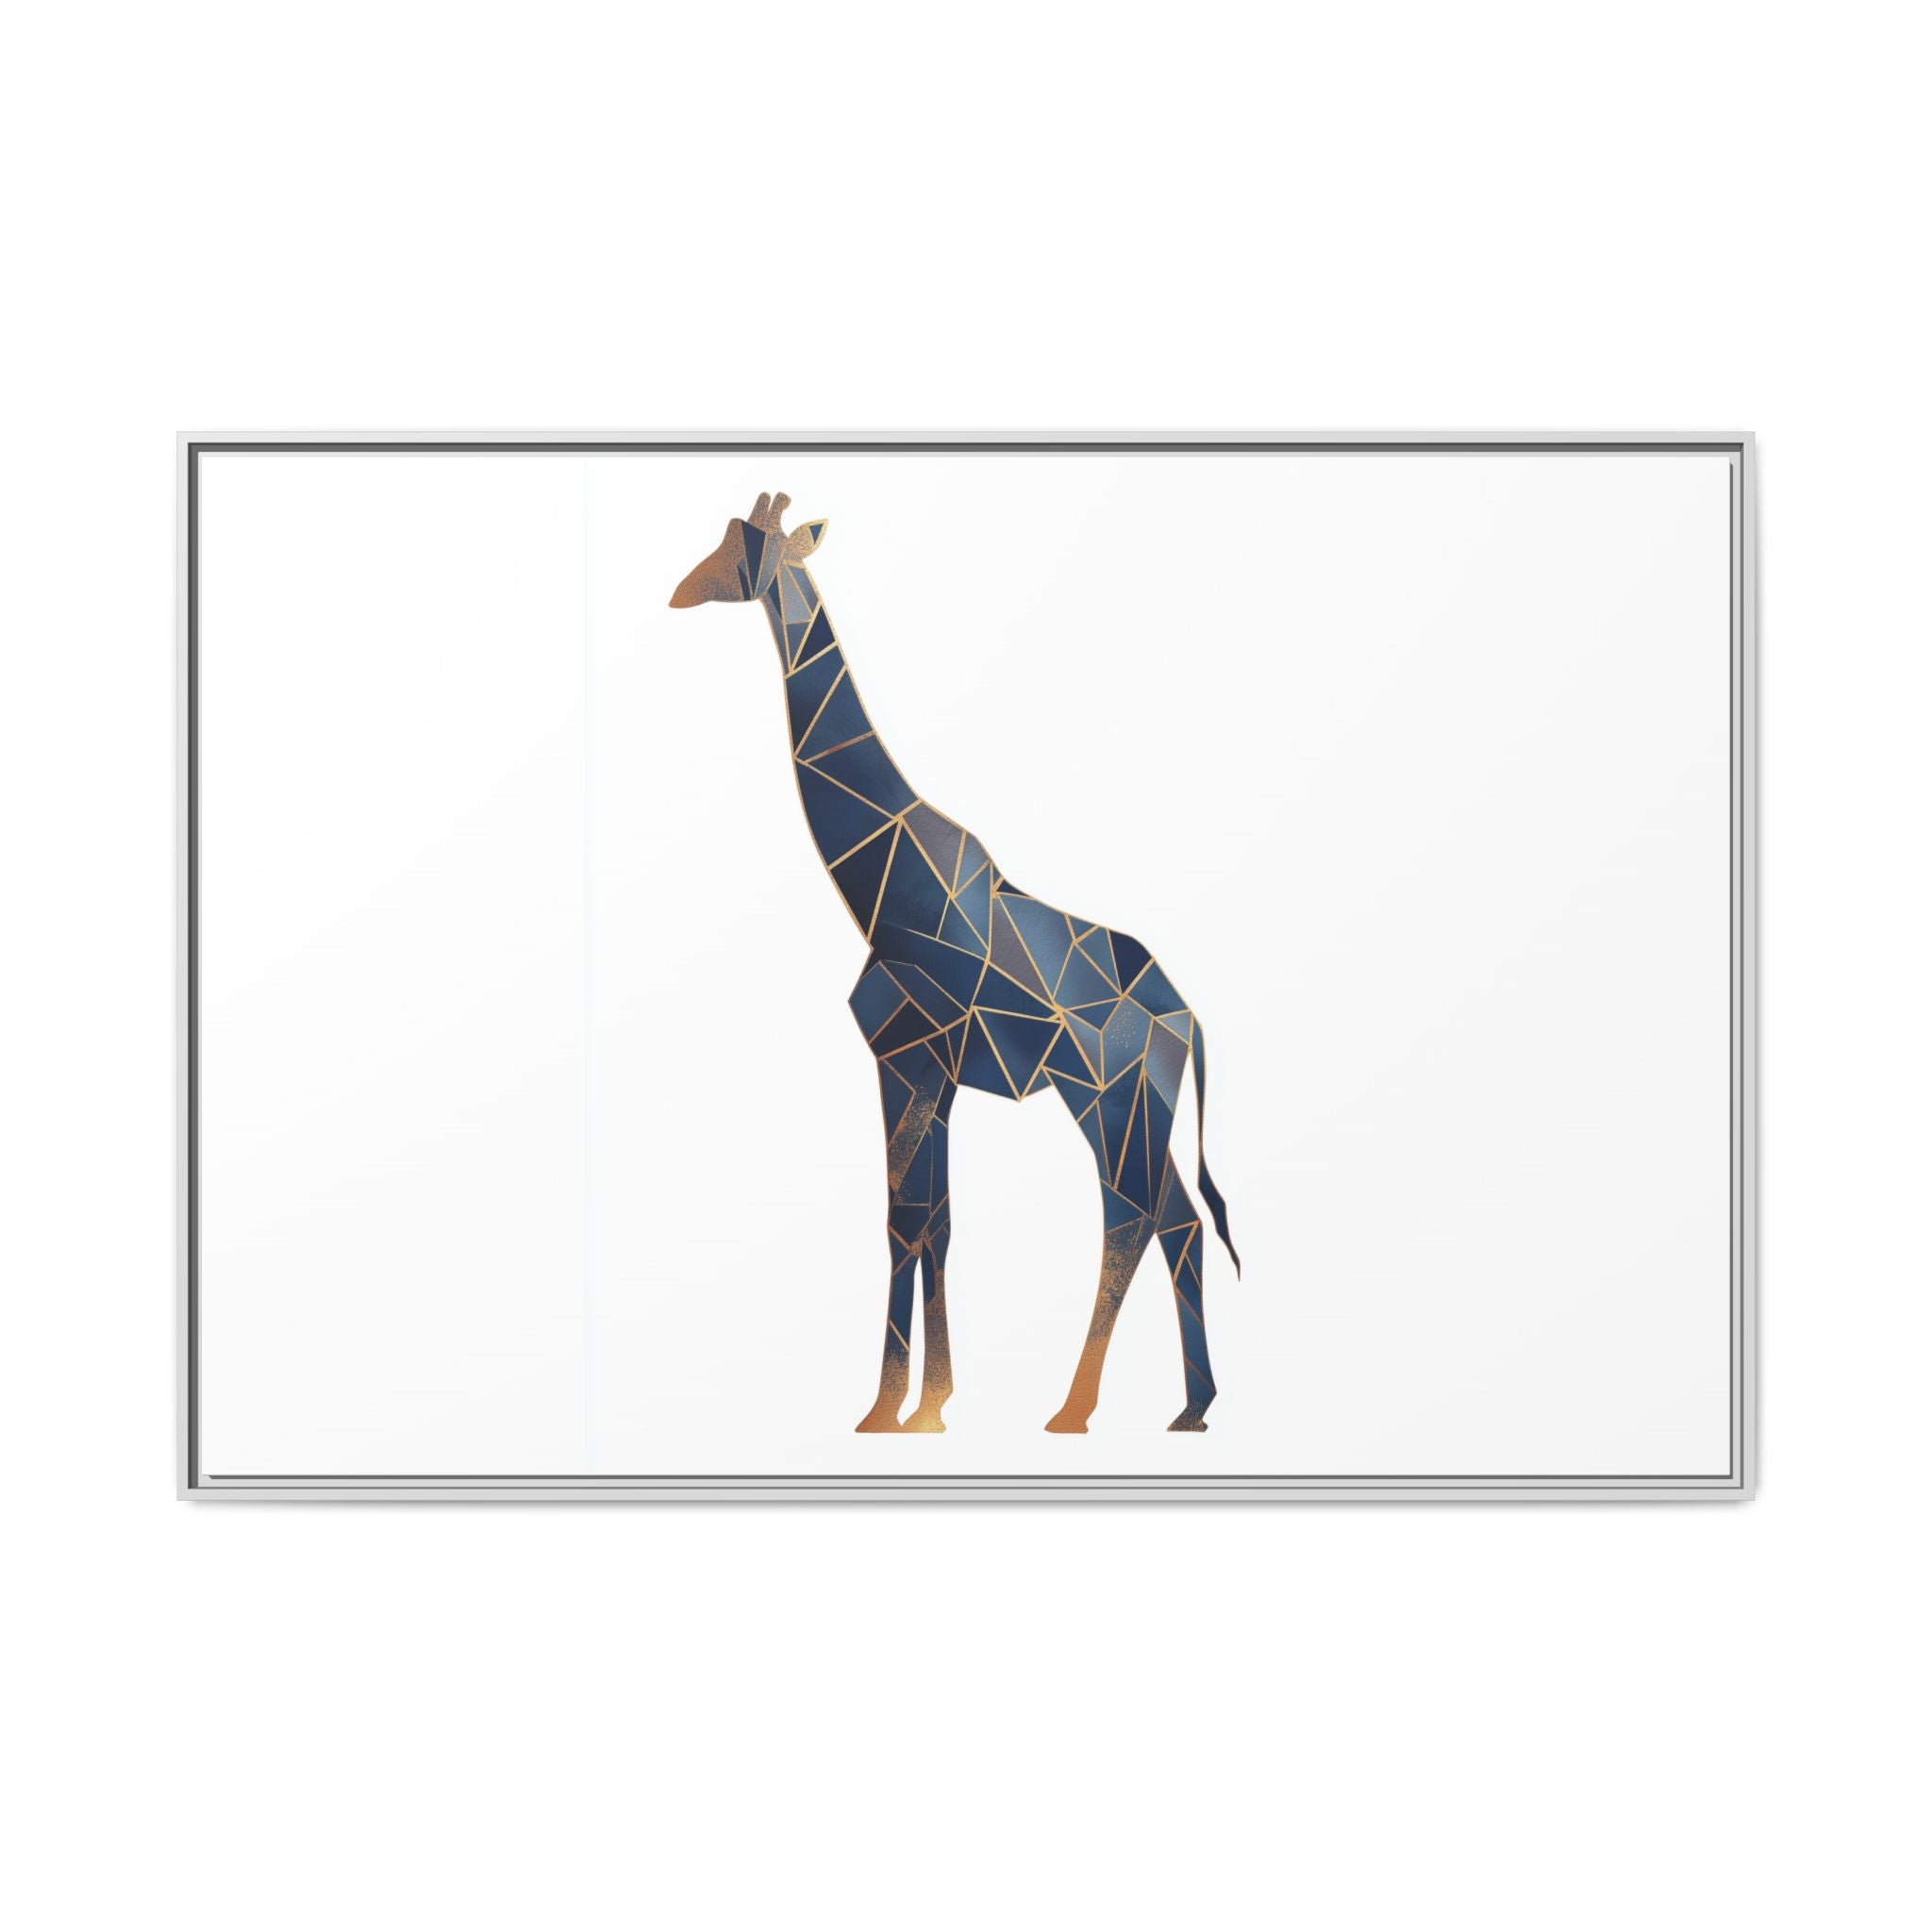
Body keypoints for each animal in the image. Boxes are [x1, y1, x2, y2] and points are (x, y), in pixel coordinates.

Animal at [669, 492, 1241, 1433]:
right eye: (723, 538)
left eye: (745, 549)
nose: (681, 591)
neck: (881, 888)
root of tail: (1187, 1019)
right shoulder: (927, 1072)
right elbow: (930, 1220)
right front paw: (921, 1405)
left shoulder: (907, 1057)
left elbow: (907, 1221)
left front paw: (895, 1408)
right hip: (1137, 1104)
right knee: (1178, 1221)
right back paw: (1190, 1408)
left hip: (1107, 1096)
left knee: (1131, 1216)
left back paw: (1076, 1410)